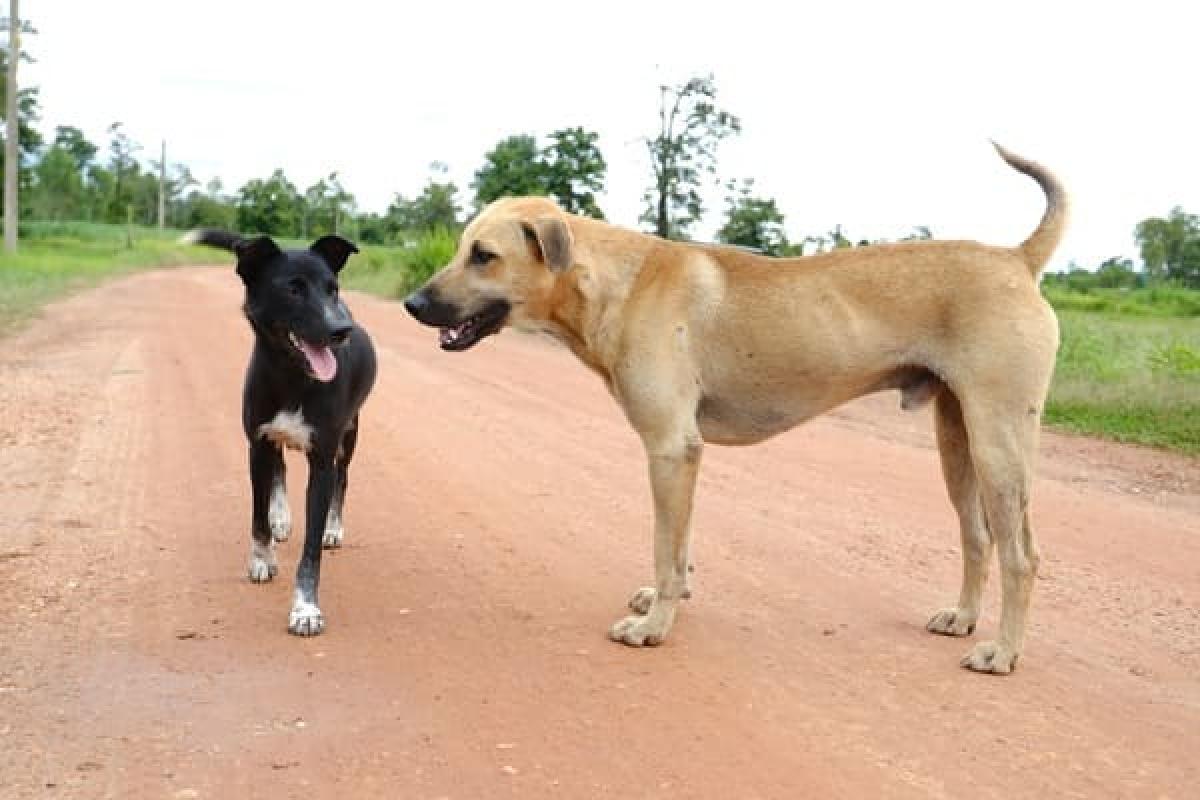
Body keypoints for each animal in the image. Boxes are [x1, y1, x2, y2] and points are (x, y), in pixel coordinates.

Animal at [187, 230, 376, 638]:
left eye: (332, 288)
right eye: (293, 288)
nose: (342, 331)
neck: (293, 378)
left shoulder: (322, 460)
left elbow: (311, 549)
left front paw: (305, 609)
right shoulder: (257, 445)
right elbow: (258, 514)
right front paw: (262, 558)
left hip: (350, 434)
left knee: (344, 478)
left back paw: (333, 528)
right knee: (281, 469)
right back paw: (281, 518)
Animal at [405, 145, 1070, 676]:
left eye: (483, 255)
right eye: (463, 248)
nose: (412, 303)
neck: (617, 282)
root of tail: (1016, 258)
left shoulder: (671, 447)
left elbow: (664, 546)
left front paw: (653, 628)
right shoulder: (684, 453)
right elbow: (680, 546)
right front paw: (668, 601)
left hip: (999, 444)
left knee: (1023, 556)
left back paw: (1002, 652)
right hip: (957, 442)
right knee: (977, 537)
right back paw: (962, 618)